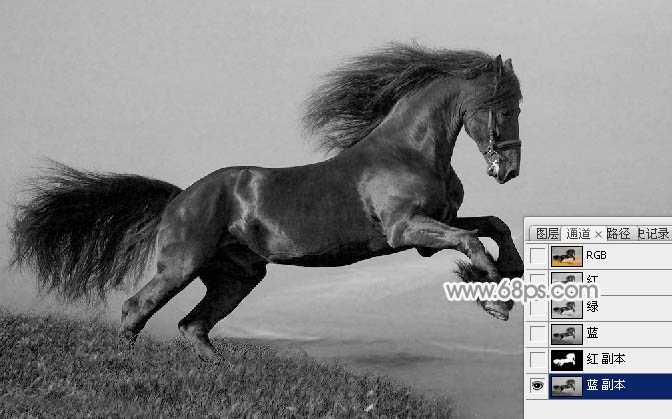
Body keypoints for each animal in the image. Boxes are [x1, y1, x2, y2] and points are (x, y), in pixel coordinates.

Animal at [10, 43, 524, 359]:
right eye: (503, 106)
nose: (510, 170)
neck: (409, 151)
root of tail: (179, 198)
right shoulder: (406, 230)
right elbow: (471, 241)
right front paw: (495, 299)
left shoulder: (433, 228)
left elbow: (493, 224)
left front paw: (510, 273)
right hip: (182, 266)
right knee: (137, 308)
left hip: (237, 276)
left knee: (193, 326)